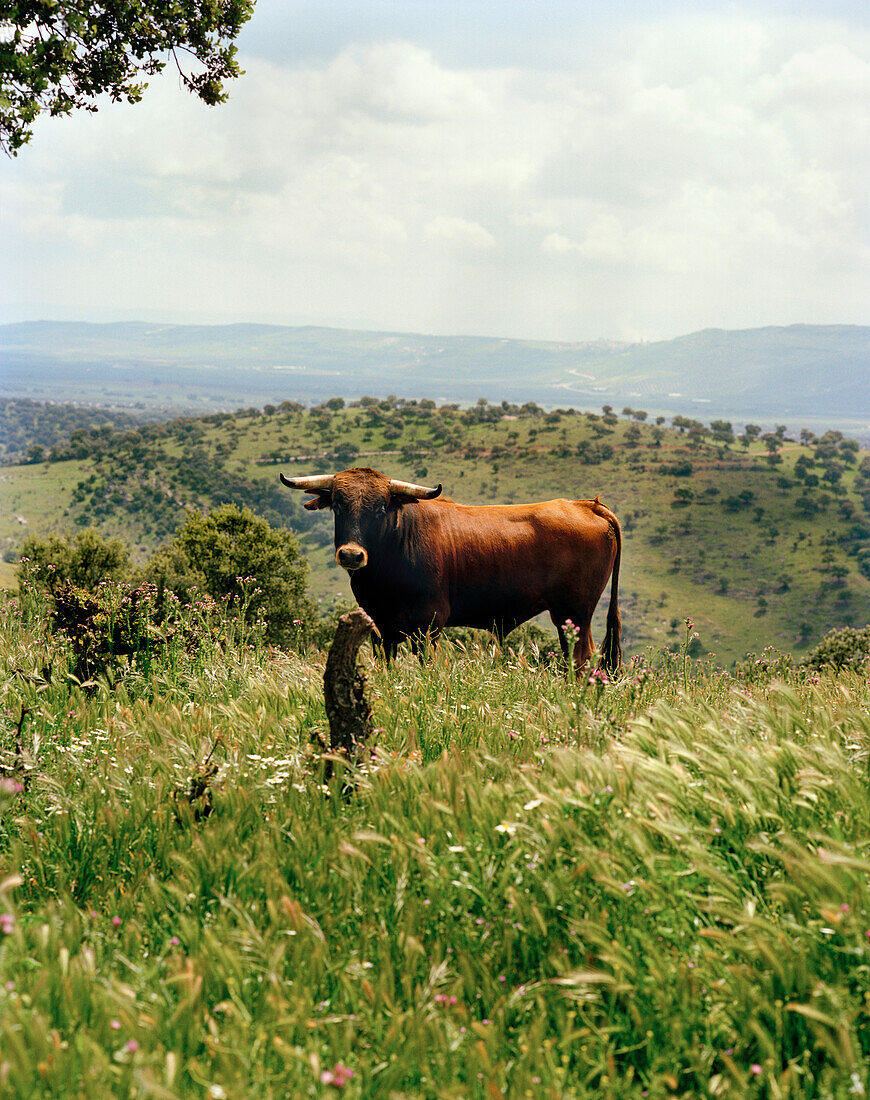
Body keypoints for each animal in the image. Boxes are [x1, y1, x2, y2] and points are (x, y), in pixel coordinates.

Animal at [281, 464, 624, 668]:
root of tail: (587, 505)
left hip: (574, 613)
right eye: (338, 504)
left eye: (380, 507)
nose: (351, 555)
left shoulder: (427, 627)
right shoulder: (381, 629)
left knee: (581, 657)